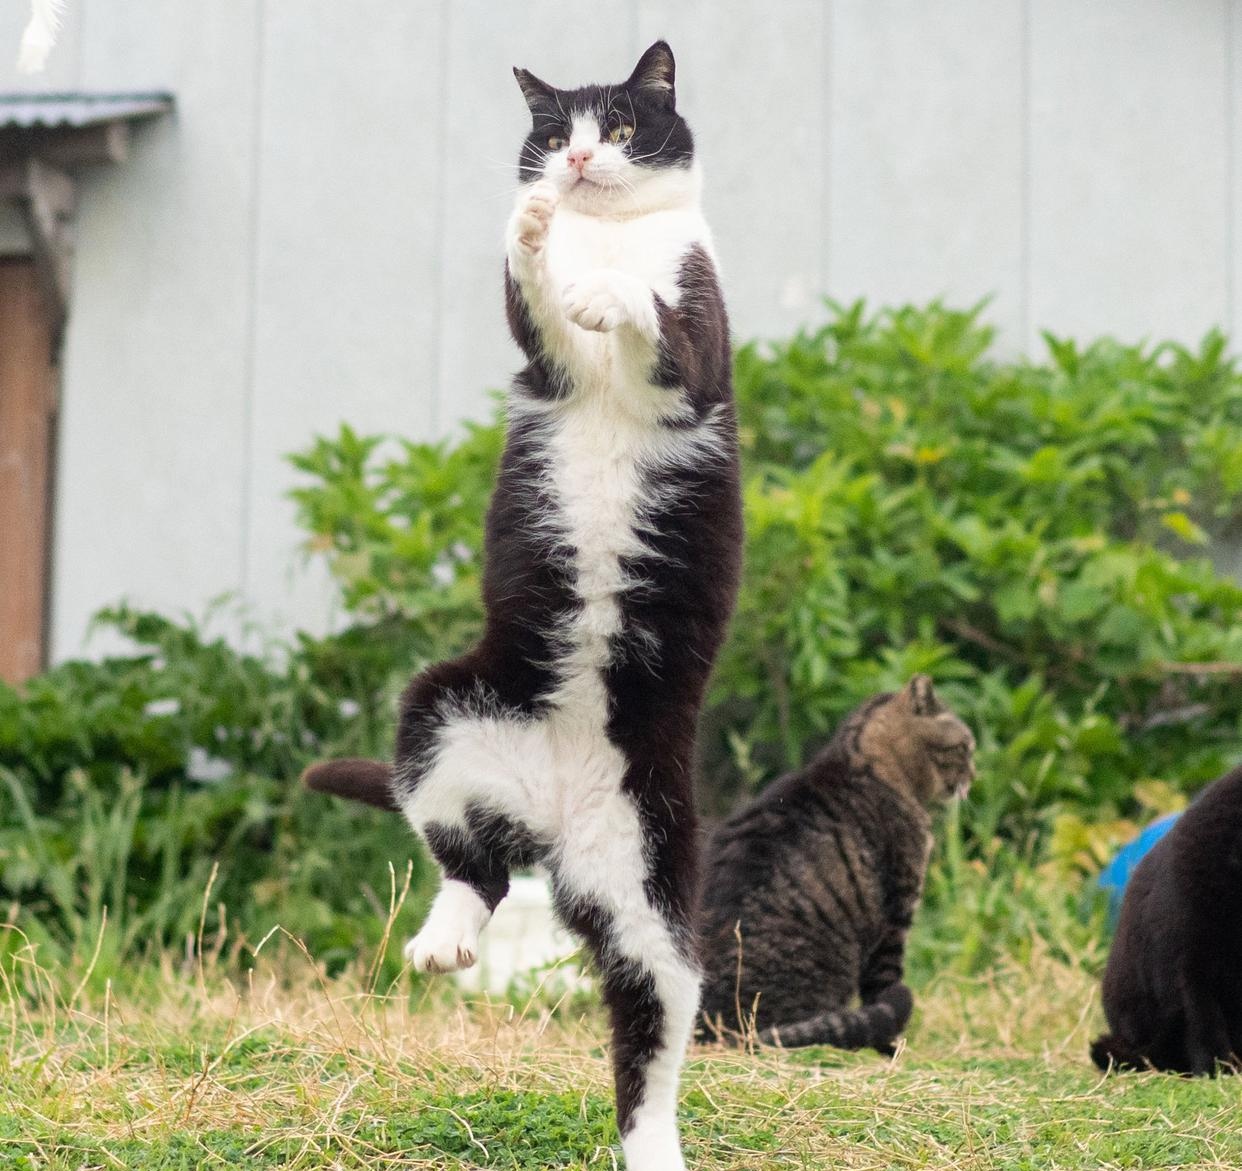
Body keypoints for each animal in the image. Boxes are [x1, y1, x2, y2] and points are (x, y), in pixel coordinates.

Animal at [306, 41, 740, 1167]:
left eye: (623, 126)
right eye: (554, 133)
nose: (578, 161)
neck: (610, 232)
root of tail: (551, 822)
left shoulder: (698, 339)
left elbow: (655, 322)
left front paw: (606, 290)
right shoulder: (543, 353)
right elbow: (537, 299)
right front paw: (537, 232)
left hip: (655, 873)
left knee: (653, 1020)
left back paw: (655, 1147)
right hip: (443, 709)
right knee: (472, 862)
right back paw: (442, 937)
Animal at [700, 675, 968, 1053]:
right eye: (965, 747)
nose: (973, 774)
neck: (865, 762)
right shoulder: (896, 918)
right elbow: (884, 991)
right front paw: (893, 1049)